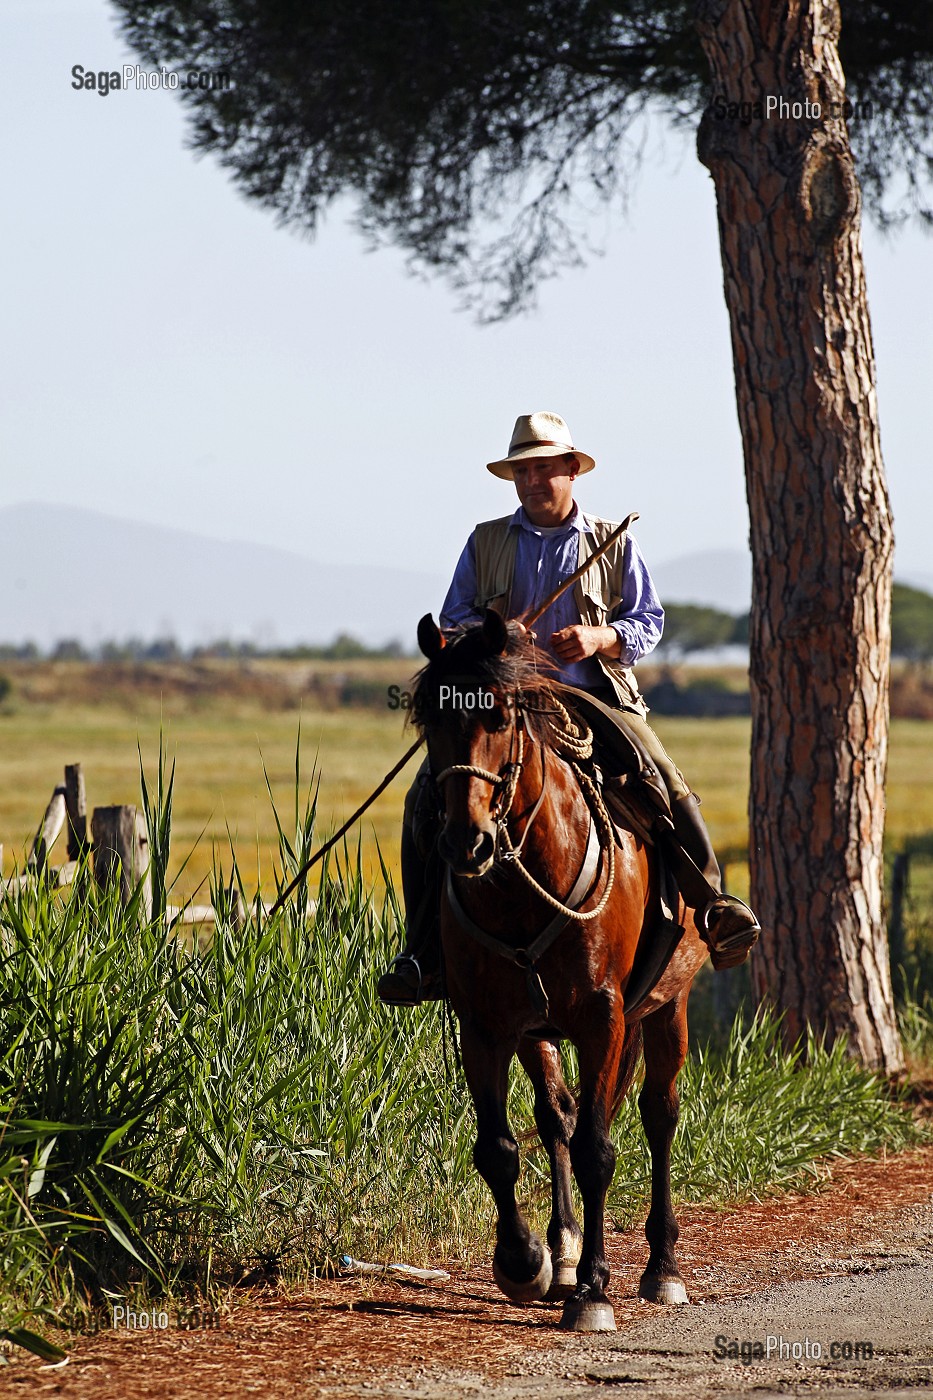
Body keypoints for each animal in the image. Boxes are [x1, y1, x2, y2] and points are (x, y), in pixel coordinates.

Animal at [411, 613, 708, 1332]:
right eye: (429, 719)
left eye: (499, 716)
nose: (465, 842)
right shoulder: (486, 1025)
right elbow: (498, 1146)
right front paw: (524, 1262)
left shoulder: (602, 1017)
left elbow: (598, 1150)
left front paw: (594, 1292)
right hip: (539, 1030)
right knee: (557, 1117)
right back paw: (563, 1251)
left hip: (667, 1008)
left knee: (658, 1116)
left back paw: (661, 1268)